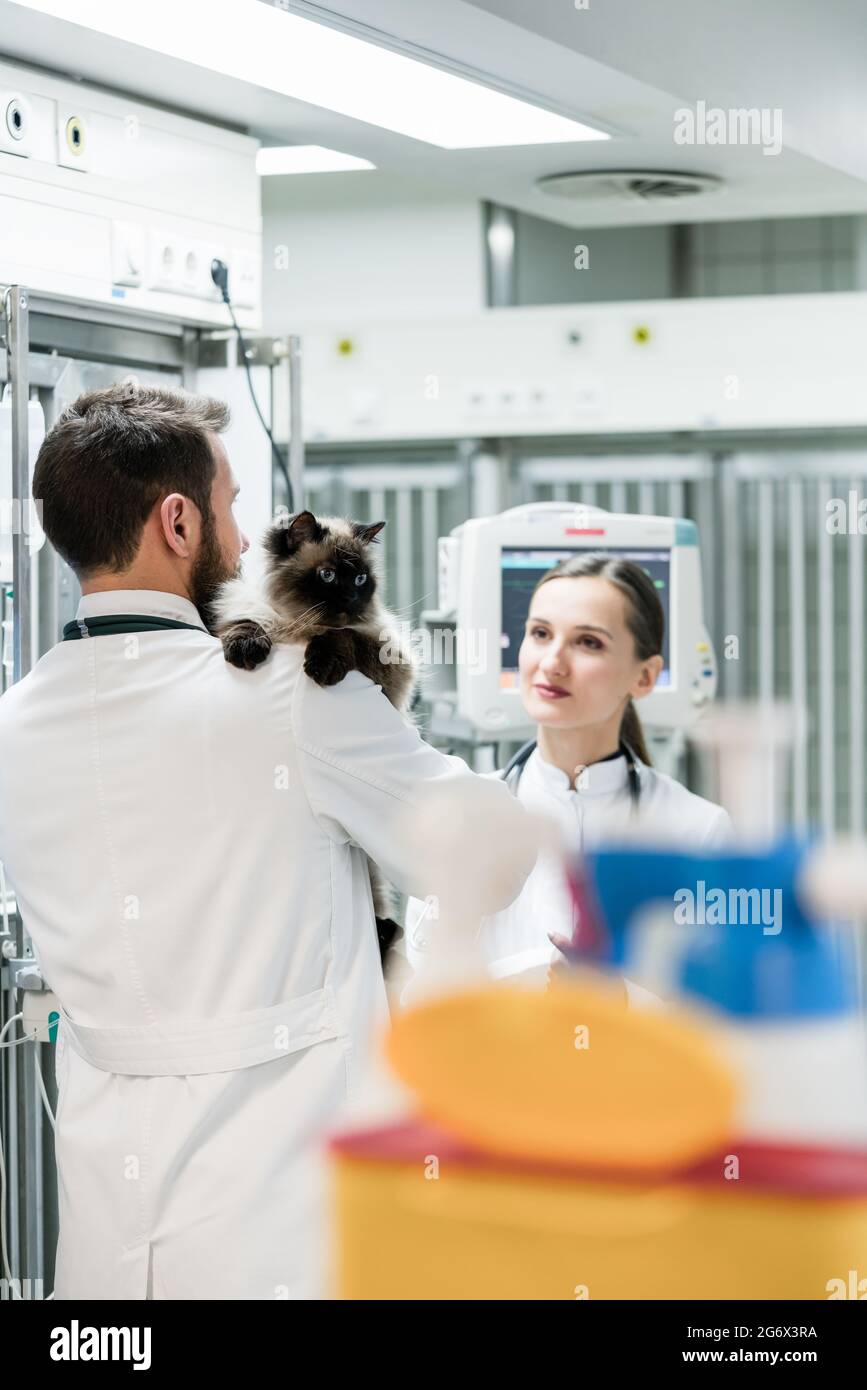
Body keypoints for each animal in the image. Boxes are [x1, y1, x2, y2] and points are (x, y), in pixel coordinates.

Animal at [209, 511, 414, 967]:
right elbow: (245, 622)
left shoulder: (389, 661)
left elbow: (345, 637)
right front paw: (247, 649)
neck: (297, 627)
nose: (351, 600)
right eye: (327, 576)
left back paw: (384, 932)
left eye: (361, 580)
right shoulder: (243, 614)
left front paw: (321, 664)